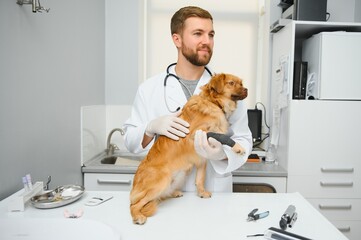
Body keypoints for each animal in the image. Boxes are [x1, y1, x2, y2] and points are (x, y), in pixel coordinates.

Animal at [129, 72, 248, 223]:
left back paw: (174, 193)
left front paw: (201, 192)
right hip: (161, 182)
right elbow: (223, 137)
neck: (213, 103)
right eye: (231, 83)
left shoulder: (202, 157)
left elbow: (200, 178)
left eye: (241, 83)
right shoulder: (197, 133)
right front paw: (238, 147)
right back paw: (137, 216)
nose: (246, 89)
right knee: (134, 204)